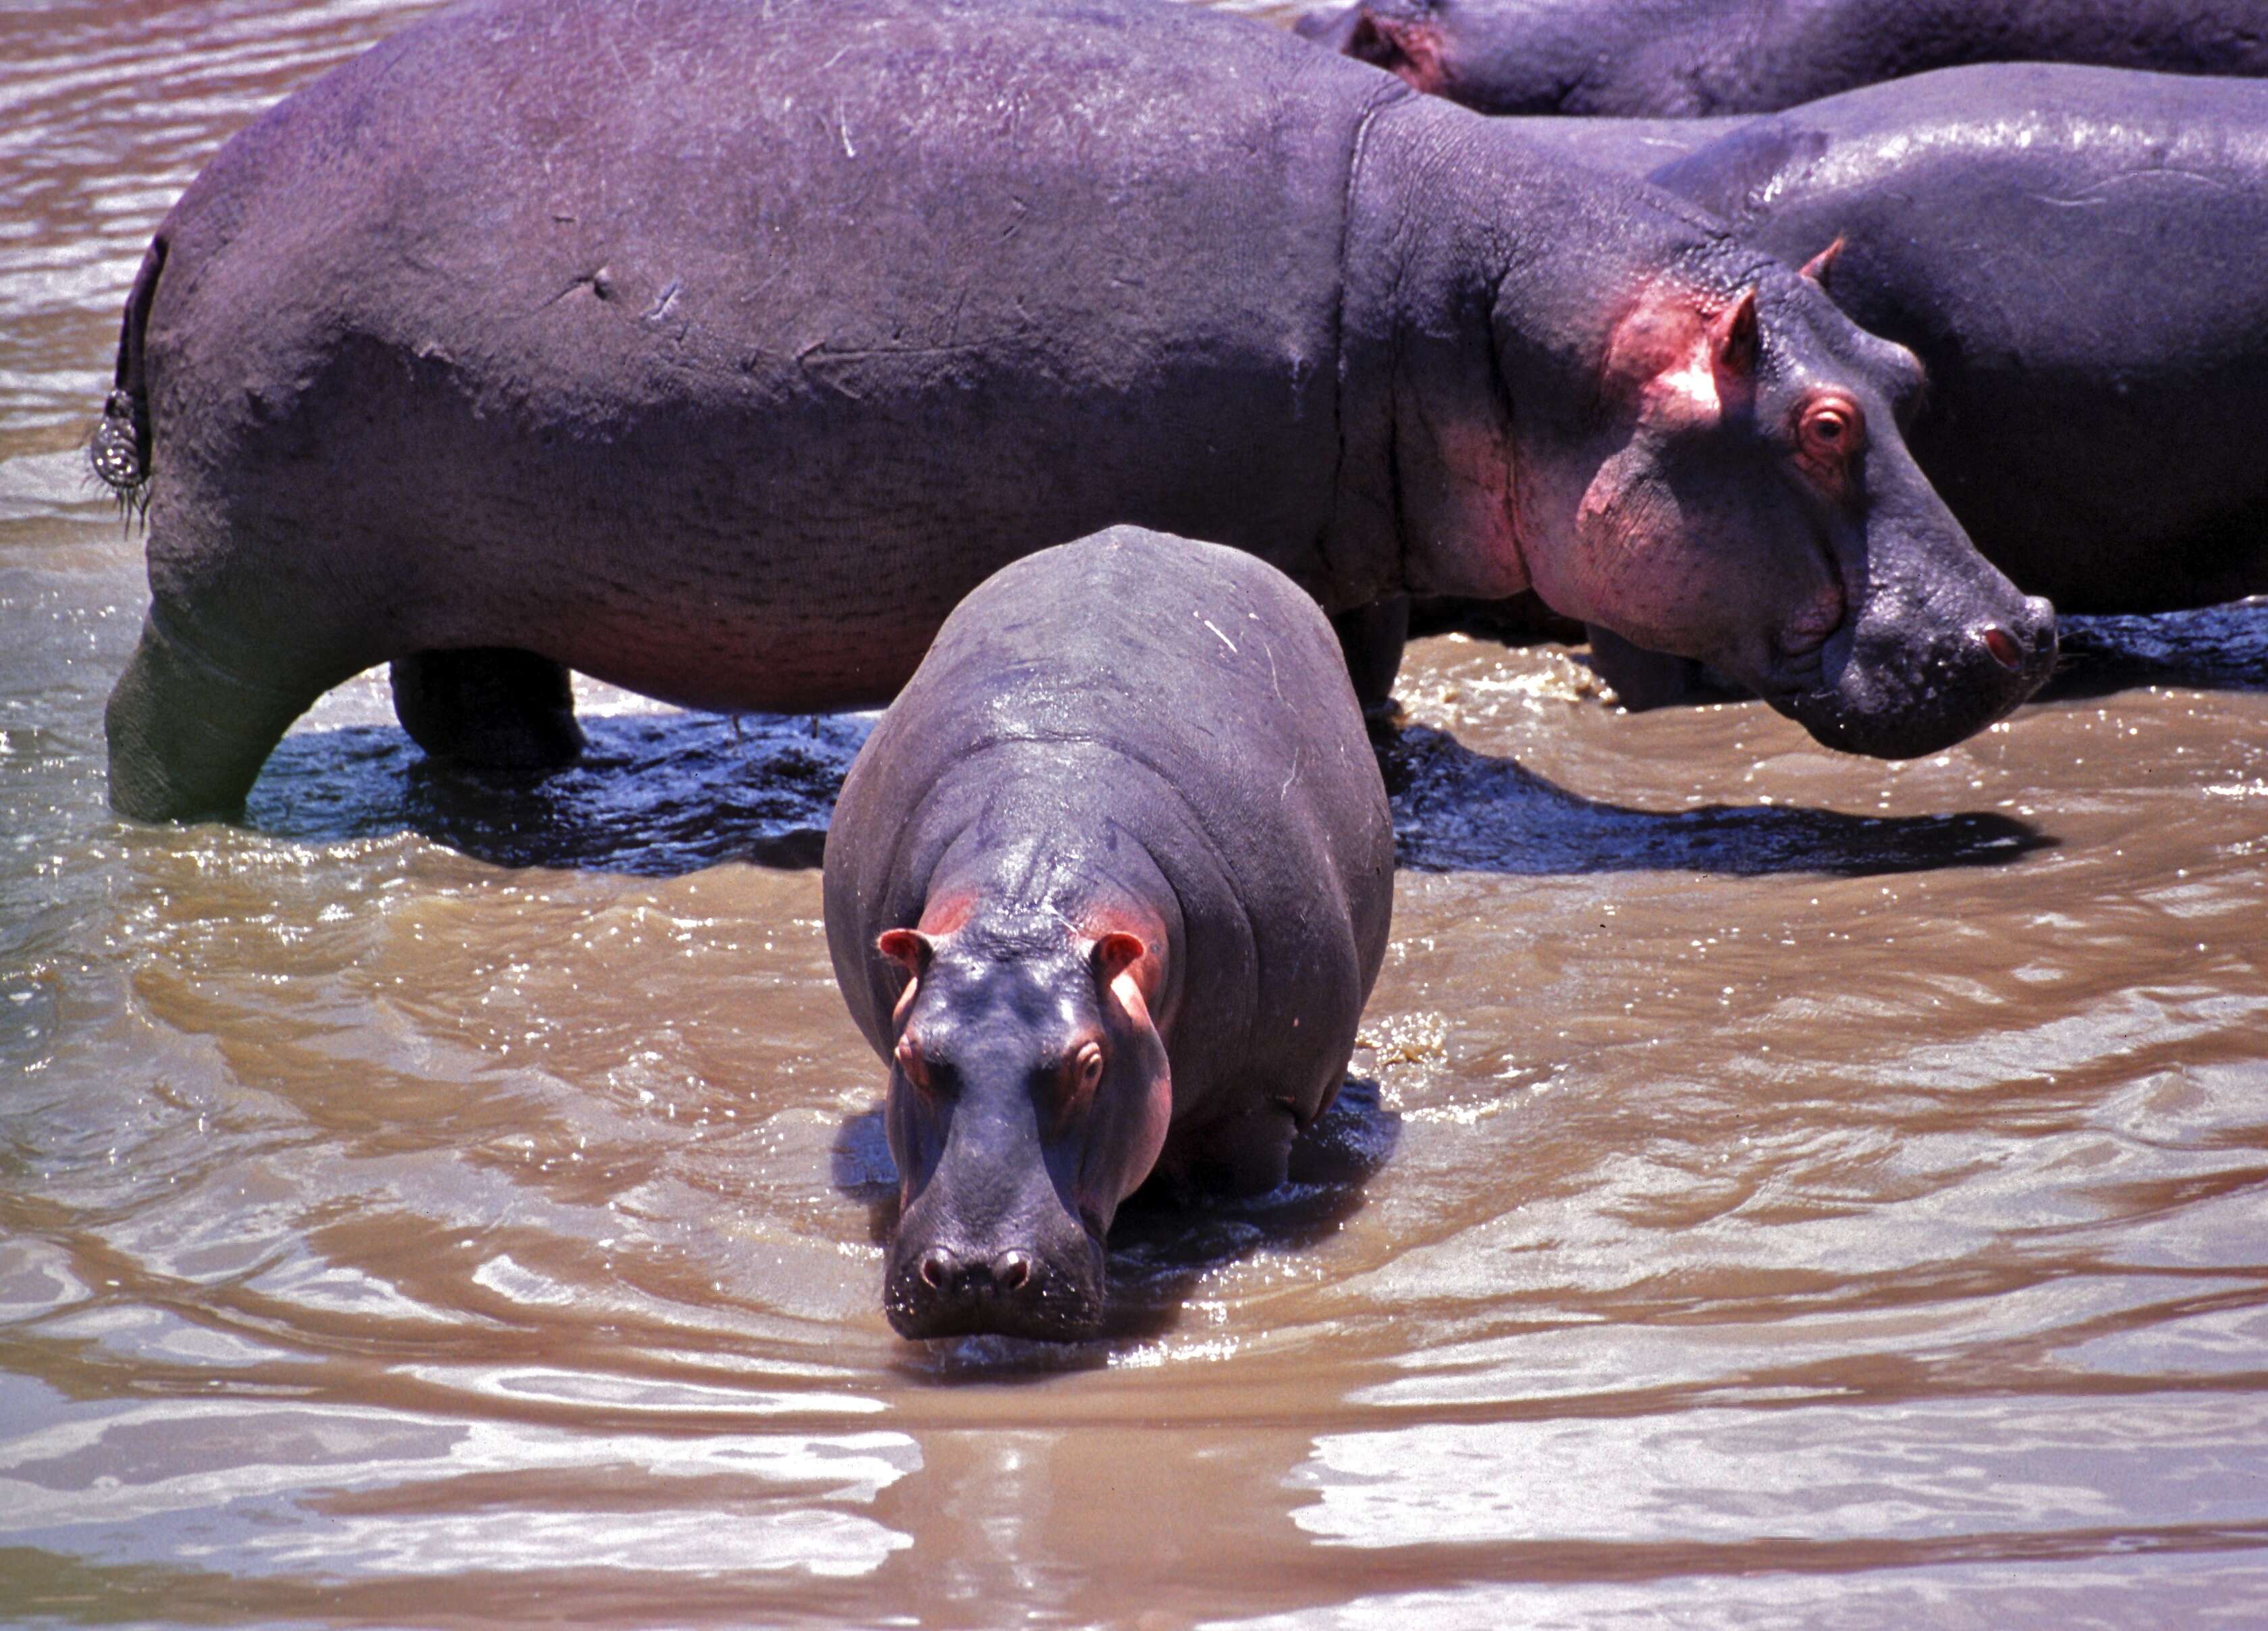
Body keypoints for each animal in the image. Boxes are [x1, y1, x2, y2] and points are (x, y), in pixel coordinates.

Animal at [97, 0, 2059, 821]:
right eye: (1818, 427)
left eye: (1904, 376)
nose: (2023, 626)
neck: (1508, 335)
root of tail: (185, 216)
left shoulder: (1339, 565)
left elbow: (1359, 678)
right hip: (240, 589)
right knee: (156, 729)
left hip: (468, 577)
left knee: (476, 708)